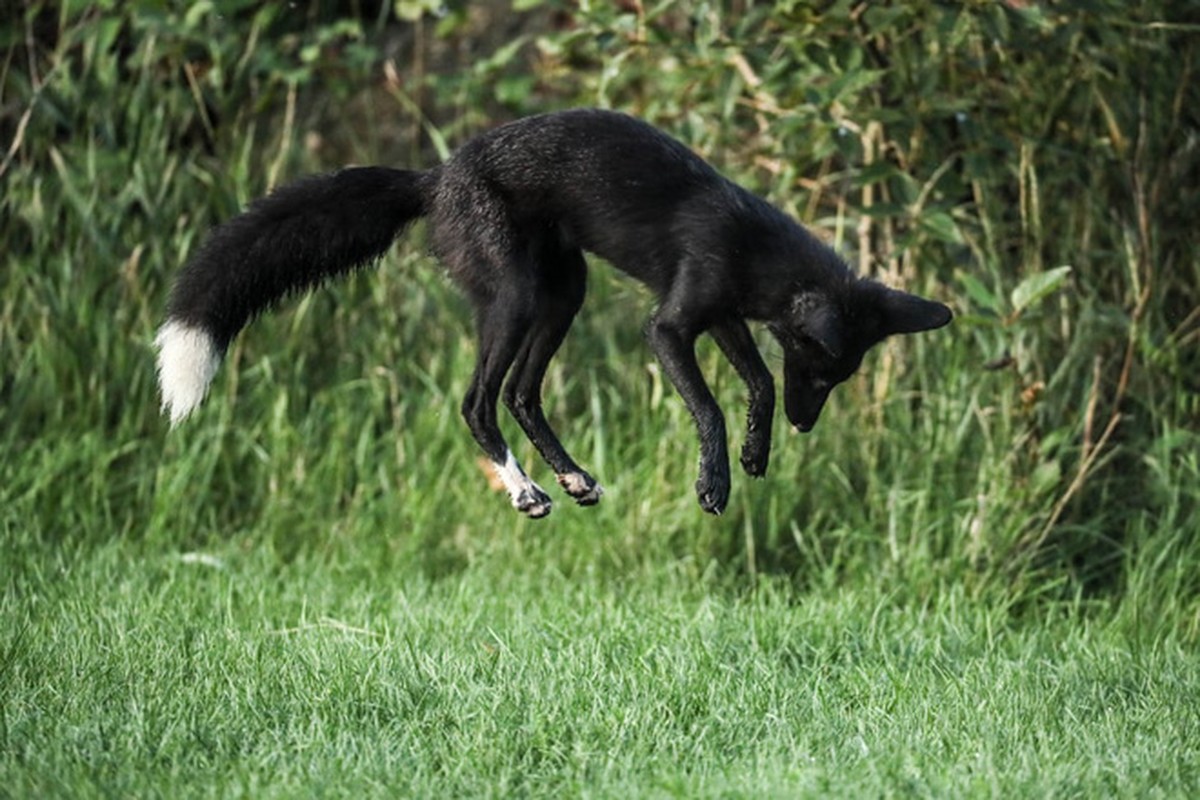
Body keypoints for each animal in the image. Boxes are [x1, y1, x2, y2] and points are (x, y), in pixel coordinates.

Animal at [157, 107, 945, 520]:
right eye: (822, 366)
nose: (810, 426)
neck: (752, 249)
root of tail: (434, 177)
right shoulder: (670, 325)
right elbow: (713, 407)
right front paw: (715, 481)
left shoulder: (720, 317)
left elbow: (757, 386)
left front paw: (757, 454)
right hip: (515, 297)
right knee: (478, 401)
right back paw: (527, 491)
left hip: (565, 294)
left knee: (521, 394)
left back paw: (571, 479)